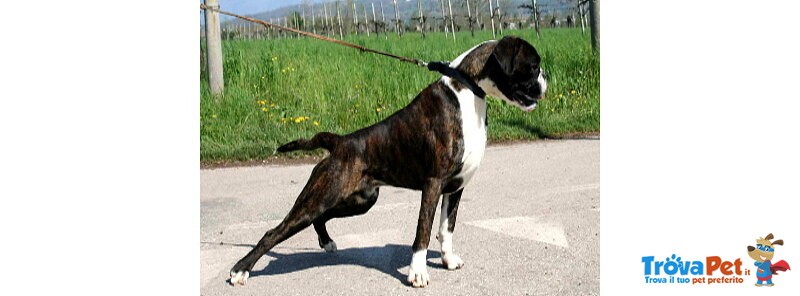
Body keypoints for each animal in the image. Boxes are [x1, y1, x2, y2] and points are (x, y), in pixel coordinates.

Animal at [228, 35, 548, 288]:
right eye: (533, 66)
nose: (546, 79)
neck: (467, 90)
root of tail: (340, 142)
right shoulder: (433, 184)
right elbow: (423, 231)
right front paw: (417, 273)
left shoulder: (455, 188)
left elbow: (446, 229)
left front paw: (447, 260)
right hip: (319, 197)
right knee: (273, 232)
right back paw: (240, 270)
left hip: (358, 200)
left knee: (321, 217)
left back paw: (326, 242)